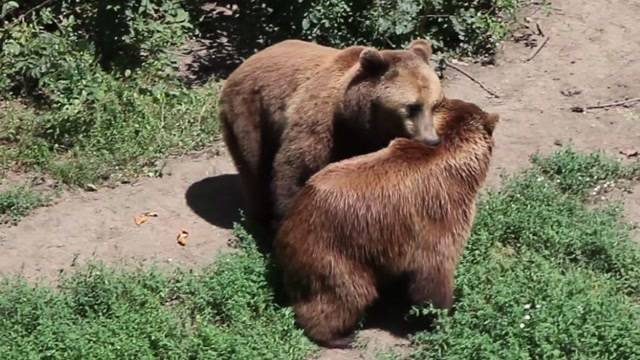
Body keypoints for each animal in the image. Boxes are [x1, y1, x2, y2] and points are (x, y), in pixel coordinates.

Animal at [218, 38, 442, 231]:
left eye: (435, 104)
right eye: (412, 107)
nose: (431, 140)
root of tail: (246, 61)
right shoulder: (320, 126)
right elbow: (296, 171)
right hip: (249, 111)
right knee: (254, 165)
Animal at [272, 97, 498, 348]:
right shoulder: (439, 212)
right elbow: (434, 272)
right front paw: (442, 313)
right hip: (334, 249)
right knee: (345, 293)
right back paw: (339, 336)